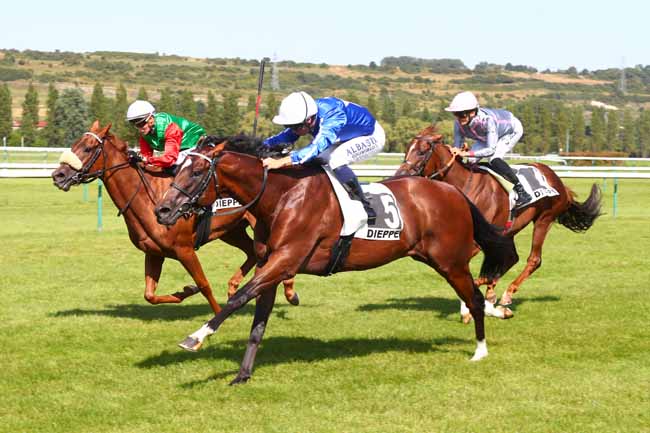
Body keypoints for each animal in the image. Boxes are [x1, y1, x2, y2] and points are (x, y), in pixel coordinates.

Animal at [53, 121, 296, 314]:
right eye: (74, 144)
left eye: (88, 147)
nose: (58, 175)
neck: (148, 197)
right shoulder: (153, 252)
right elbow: (150, 295)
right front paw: (186, 290)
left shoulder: (184, 249)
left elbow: (204, 284)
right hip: (232, 231)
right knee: (252, 253)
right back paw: (234, 286)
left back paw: (289, 291)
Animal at [152, 136, 516, 384]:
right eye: (178, 168)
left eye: (198, 171)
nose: (163, 210)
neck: (282, 195)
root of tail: (454, 192)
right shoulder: (271, 265)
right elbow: (258, 322)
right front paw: (242, 374)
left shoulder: (286, 260)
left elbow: (237, 298)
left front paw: (196, 337)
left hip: (450, 261)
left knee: (475, 297)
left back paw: (481, 347)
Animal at [392, 123, 600, 308]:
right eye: (407, 150)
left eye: (421, 152)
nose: (398, 176)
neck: (464, 184)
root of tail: (555, 178)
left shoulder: (474, 240)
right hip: (510, 229)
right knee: (511, 257)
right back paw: (493, 292)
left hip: (544, 219)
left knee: (533, 259)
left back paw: (507, 293)